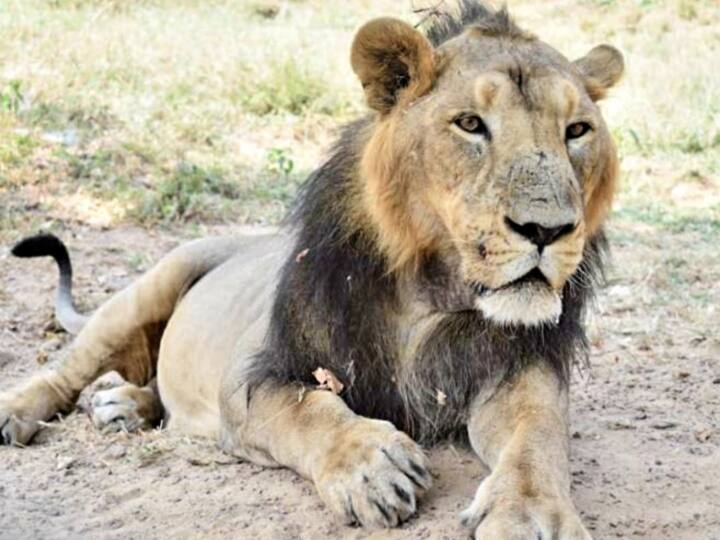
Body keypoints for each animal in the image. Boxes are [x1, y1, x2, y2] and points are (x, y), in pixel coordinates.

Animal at [0, 2, 623, 538]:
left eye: (577, 131)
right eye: (470, 123)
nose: (547, 230)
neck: (432, 290)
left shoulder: (515, 370)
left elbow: (536, 434)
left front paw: (531, 513)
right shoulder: (257, 371)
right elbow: (308, 410)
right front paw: (372, 465)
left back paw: (125, 406)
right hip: (149, 287)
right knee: (65, 371)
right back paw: (20, 413)